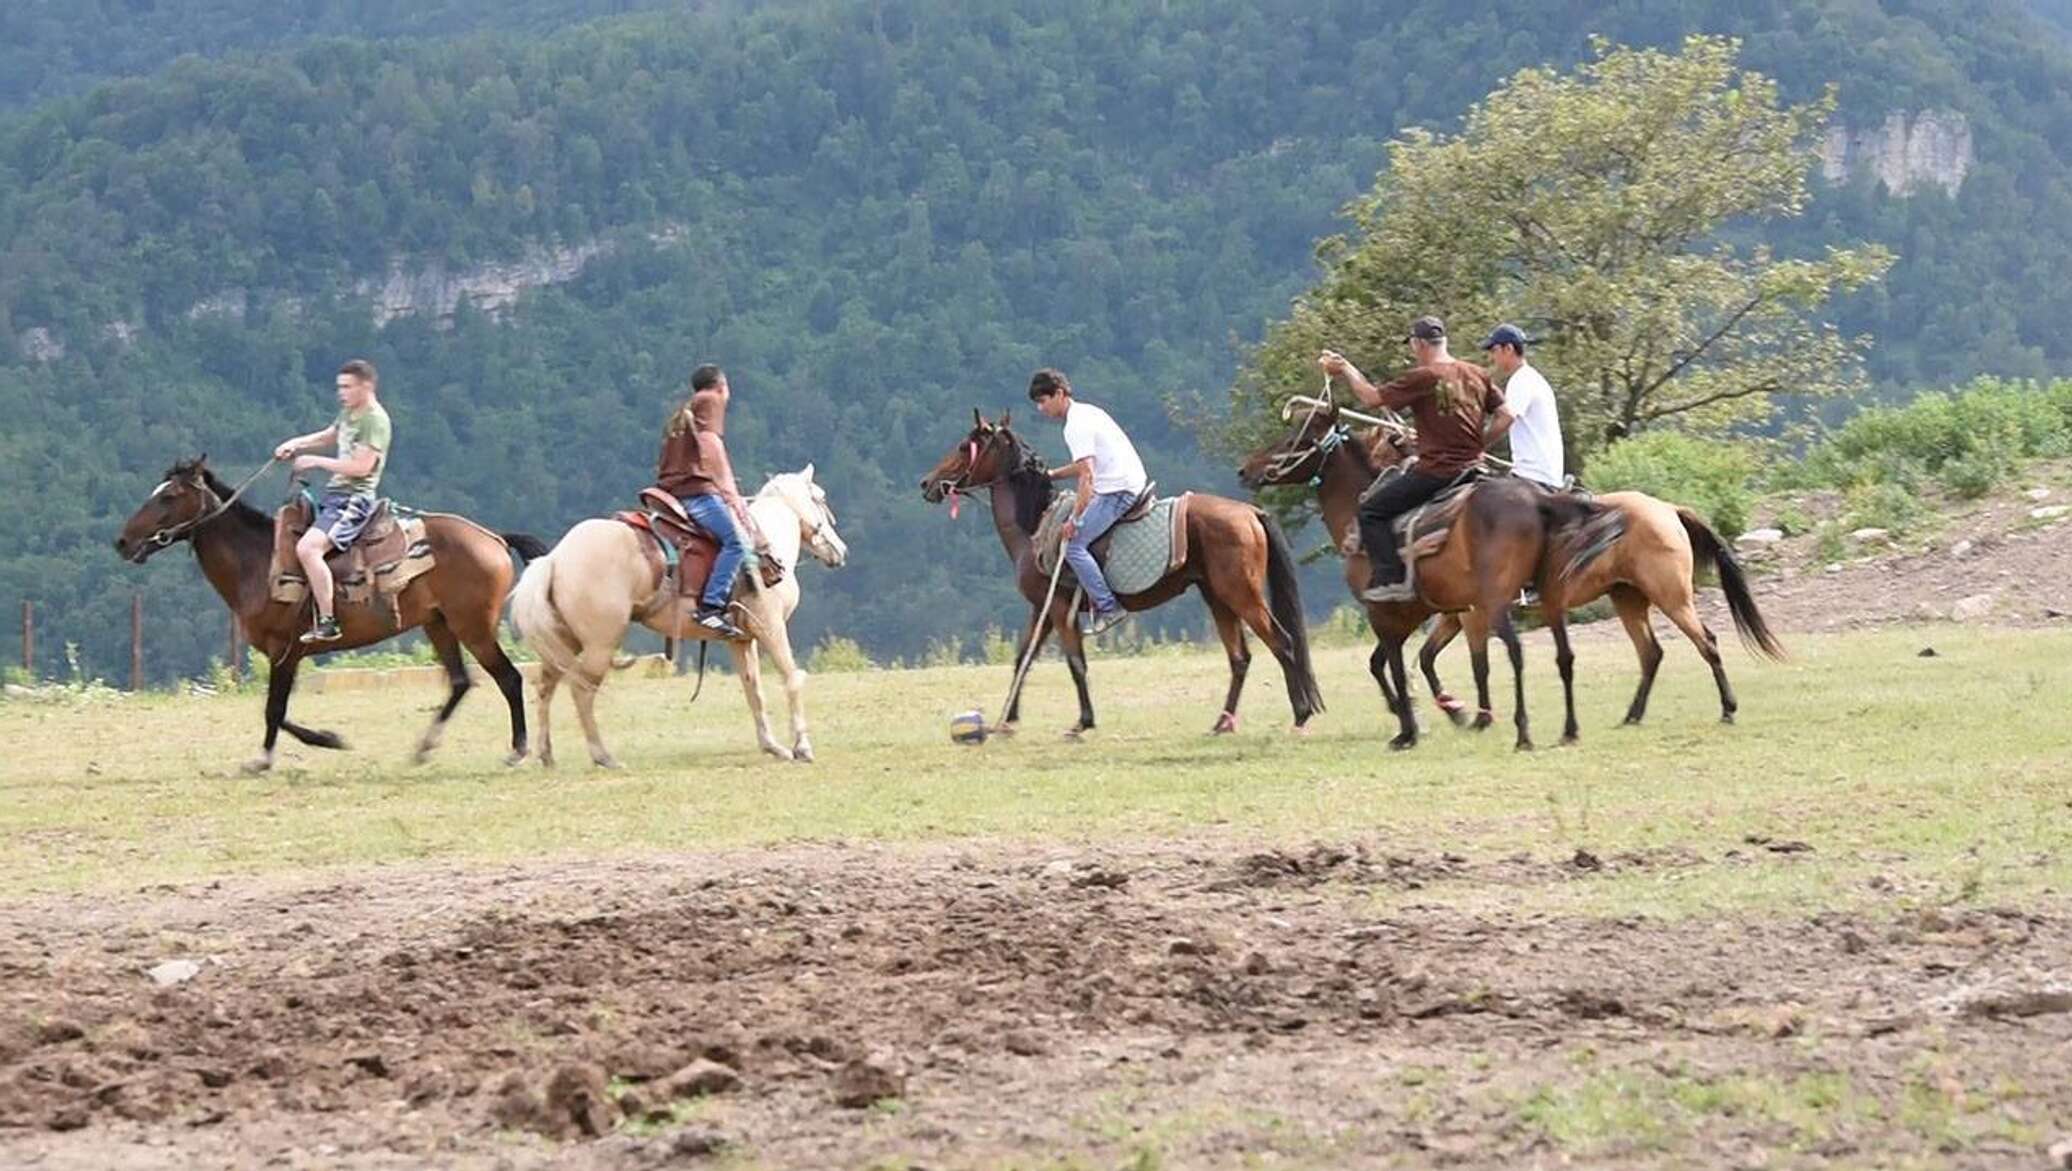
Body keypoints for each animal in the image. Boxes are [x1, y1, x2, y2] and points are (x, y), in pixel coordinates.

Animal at [117, 451, 547, 770]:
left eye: (169, 496)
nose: (122, 541)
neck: (258, 563)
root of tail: (493, 538)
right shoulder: (284, 656)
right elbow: (279, 711)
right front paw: (330, 739)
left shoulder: (285, 651)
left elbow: (274, 709)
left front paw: (264, 759)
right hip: (438, 625)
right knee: (460, 682)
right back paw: (424, 746)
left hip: (472, 627)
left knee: (508, 678)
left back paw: (517, 750)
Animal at [505, 462, 845, 770]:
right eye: (821, 498)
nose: (840, 550)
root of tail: (555, 559)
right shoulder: (771, 628)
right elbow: (792, 678)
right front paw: (802, 747)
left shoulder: (741, 640)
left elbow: (754, 691)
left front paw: (773, 746)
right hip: (600, 645)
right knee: (582, 691)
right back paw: (603, 756)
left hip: (564, 640)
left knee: (546, 686)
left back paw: (546, 754)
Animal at [928, 410, 1326, 733]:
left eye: (964, 447)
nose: (927, 484)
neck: (1035, 527)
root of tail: (1250, 513)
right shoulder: (1041, 609)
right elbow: (1022, 660)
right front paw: (1008, 720)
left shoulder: (1059, 608)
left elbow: (1076, 664)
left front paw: (1083, 722)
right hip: (1218, 598)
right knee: (1240, 658)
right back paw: (1222, 723)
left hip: (1241, 595)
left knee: (1282, 643)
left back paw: (1300, 714)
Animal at [1226, 402, 1616, 750]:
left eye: (1299, 436)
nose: (1245, 469)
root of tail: (1538, 501)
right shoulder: (1420, 611)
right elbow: (1393, 662)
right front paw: (1444, 710)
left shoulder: (1385, 611)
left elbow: (1398, 666)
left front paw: (1409, 729)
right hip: (1548, 598)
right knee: (1565, 655)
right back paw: (1569, 729)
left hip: (1496, 601)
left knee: (1516, 651)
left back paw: (1523, 733)